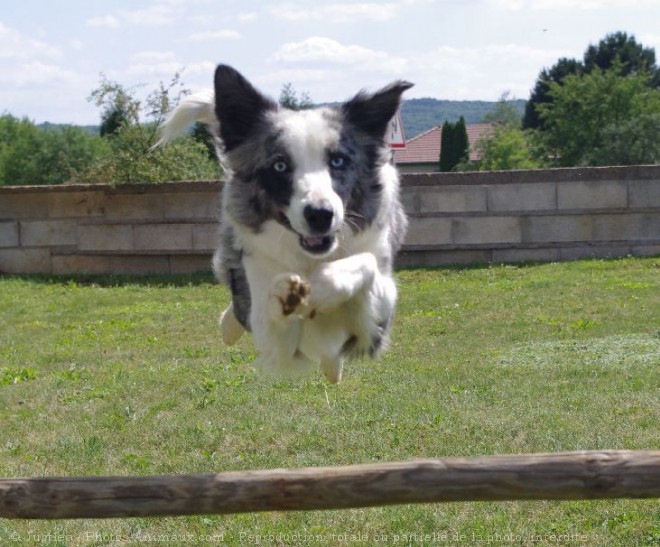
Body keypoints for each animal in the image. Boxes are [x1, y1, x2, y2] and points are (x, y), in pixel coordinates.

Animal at [157, 65, 410, 382]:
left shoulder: (374, 325)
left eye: (338, 161)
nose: (320, 214)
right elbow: (270, 318)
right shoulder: (274, 340)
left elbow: (365, 265)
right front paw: (285, 295)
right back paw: (230, 327)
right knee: (237, 312)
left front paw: (323, 285)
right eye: (279, 166)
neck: (309, 259)